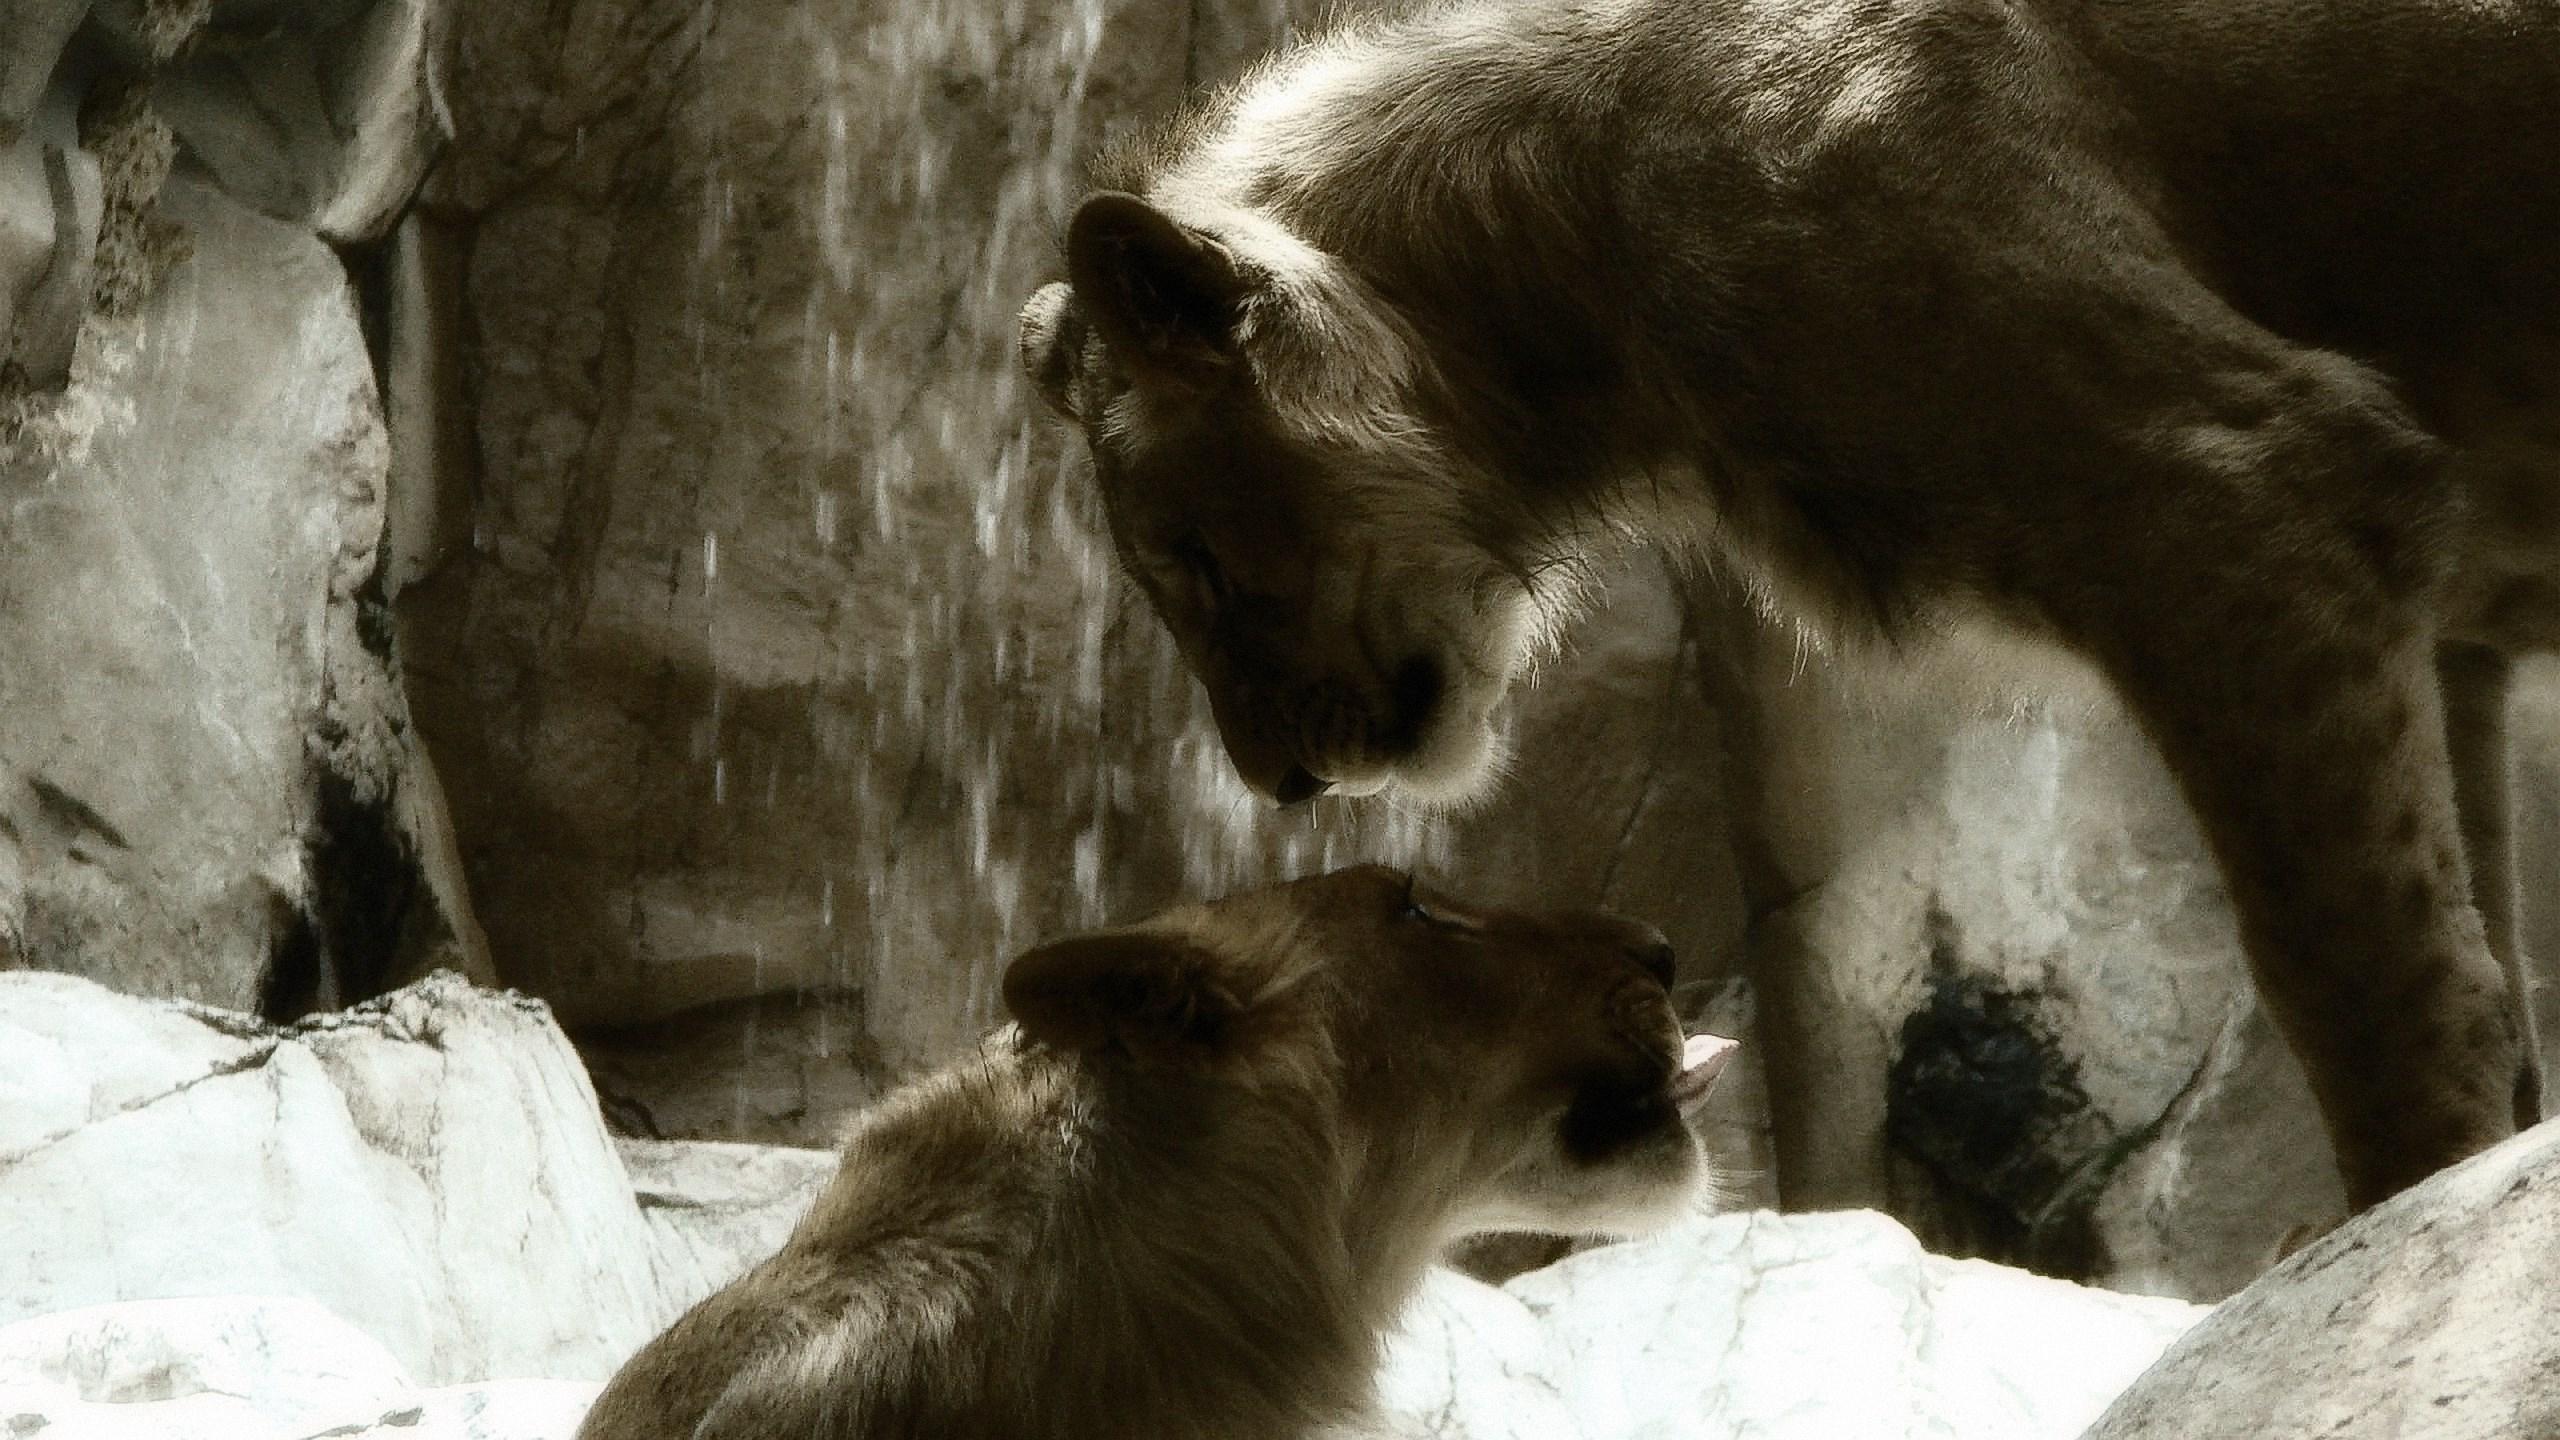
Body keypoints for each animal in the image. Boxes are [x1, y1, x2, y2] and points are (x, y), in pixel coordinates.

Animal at [1016, 0, 2560, 1213]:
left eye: (1192, 558)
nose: (1272, 781)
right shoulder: (2435, 614)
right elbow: (2475, 950)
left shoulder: (2241, 493)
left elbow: (2359, 973)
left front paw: (2392, 1231)